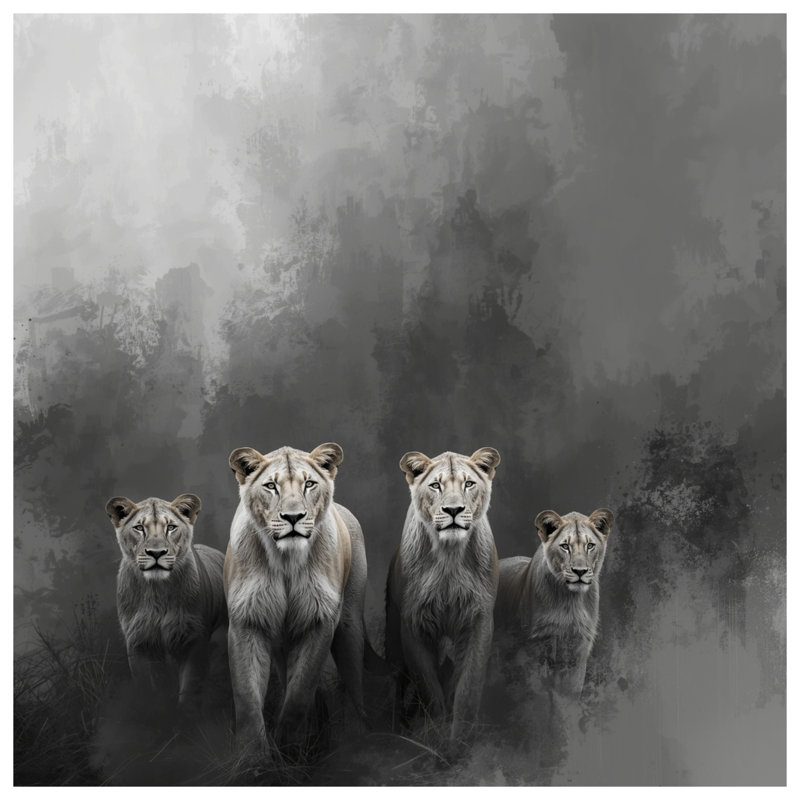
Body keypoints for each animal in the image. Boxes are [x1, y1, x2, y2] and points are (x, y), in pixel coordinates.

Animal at [105, 493, 227, 706]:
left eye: (170, 527)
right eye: (139, 528)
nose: (156, 553)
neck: (157, 591)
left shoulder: (194, 640)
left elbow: (189, 690)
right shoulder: (139, 642)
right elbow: (149, 689)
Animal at [224, 442, 379, 757]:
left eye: (309, 484)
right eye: (271, 486)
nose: (293, 518)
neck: (286, 560)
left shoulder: (320, 622)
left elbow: (299, 694)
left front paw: (289, 747)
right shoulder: (246, 621)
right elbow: (247, 697)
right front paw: (253, 757)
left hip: (349, 627)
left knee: (354, 686)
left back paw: (360, 736)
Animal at [385, 447, 501, 746]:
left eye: (468, 484)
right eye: (435, 486)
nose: (453, 510)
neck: (449, 555)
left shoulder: (479, 620)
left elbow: (467, 687)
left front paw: (460, 740)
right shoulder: (412, 623)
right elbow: (429, 688)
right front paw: (436, 737)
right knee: (398, 682)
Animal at [494, 508, 614, 698]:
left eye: (590, 545)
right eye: (565, 546)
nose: (580, 572)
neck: (570, 601)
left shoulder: (578, 649)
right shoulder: (538, 646)